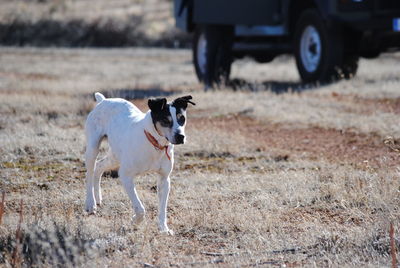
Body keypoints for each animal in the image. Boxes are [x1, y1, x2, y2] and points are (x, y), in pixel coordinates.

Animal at [84, 92, 195, 234]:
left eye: (182, 118)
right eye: (165, 120)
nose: (180, 136)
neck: (155, 144)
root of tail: (103, 101)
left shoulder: (164, 179)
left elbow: (162, 209)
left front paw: (164, 229)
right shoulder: (125, 176)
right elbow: (140, 209)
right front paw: (135, 221)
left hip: (115, 156)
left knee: (99, 166)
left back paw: (98, 198)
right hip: (93, 148)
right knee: (90, 172)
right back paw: (90, 203)